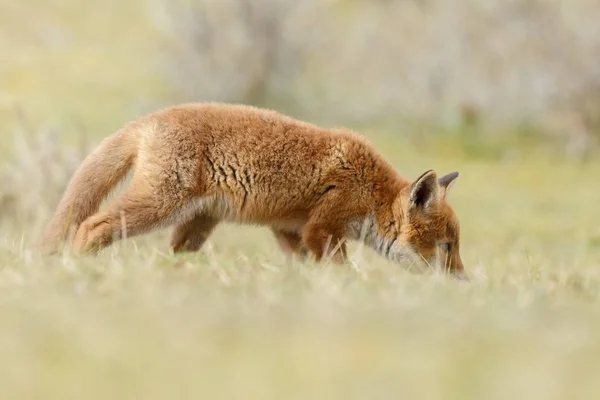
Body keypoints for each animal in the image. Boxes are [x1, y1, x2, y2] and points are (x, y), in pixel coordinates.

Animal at [42, 102, 468, 278]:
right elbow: (341, 270)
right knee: (92, 225)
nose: (463, 284)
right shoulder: (323, 229)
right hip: (160, 204)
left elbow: (304, 266)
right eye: (447, 247)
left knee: (174, 253)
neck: (371, 190)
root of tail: (150, 118)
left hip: (197, 222)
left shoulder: (291, 230)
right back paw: (74, 268)